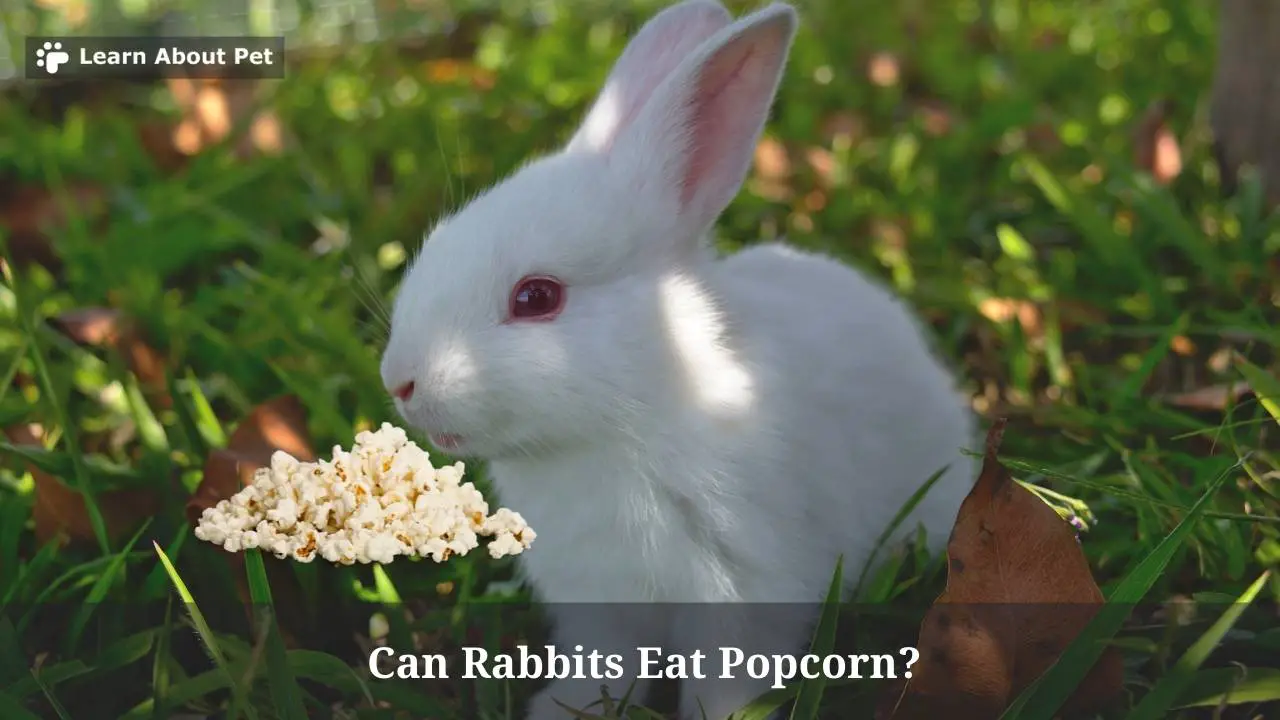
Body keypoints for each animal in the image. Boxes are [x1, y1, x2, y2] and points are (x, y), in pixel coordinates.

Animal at [379, 1, 978, 718]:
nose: (400, 382)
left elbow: (725, 674)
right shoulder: (600, 607)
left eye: (537, 297)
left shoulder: (741, 592)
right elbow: (606, 663)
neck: (633, 413)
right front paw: (565, 707)